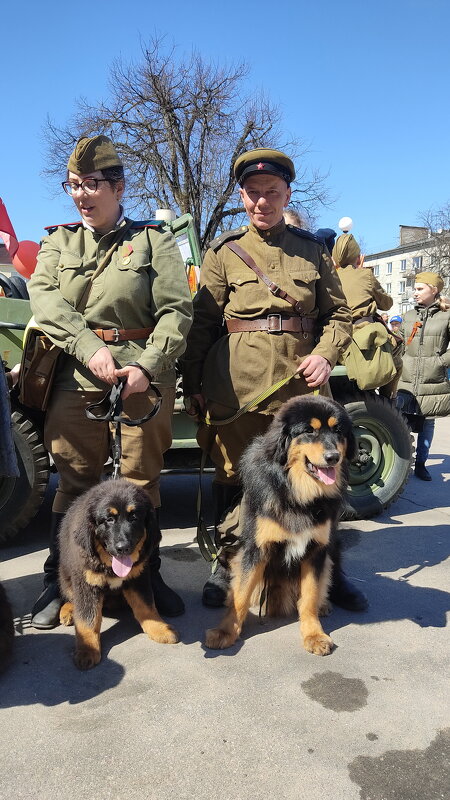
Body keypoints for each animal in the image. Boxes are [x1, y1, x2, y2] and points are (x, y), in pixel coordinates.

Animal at [59, 482, 178, 668]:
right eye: (109, 519)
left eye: (134, 517)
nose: (123, 548)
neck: (109, 565)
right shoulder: (86, 583)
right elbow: (87, 618)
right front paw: (87, 650)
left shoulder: (138, 577)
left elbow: (147, 606)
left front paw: (159, 629)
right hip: (66, 577)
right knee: (70, 597)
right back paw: (67, 611)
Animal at [204, 396, 356, 656]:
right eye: (309, 431)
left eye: (338, 430)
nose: (333, 457)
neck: (296, 492)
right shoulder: (256, 548)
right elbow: (241, 595)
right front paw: (226, 631)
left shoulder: (316, 550)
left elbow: (309, 596)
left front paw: (314, 634)